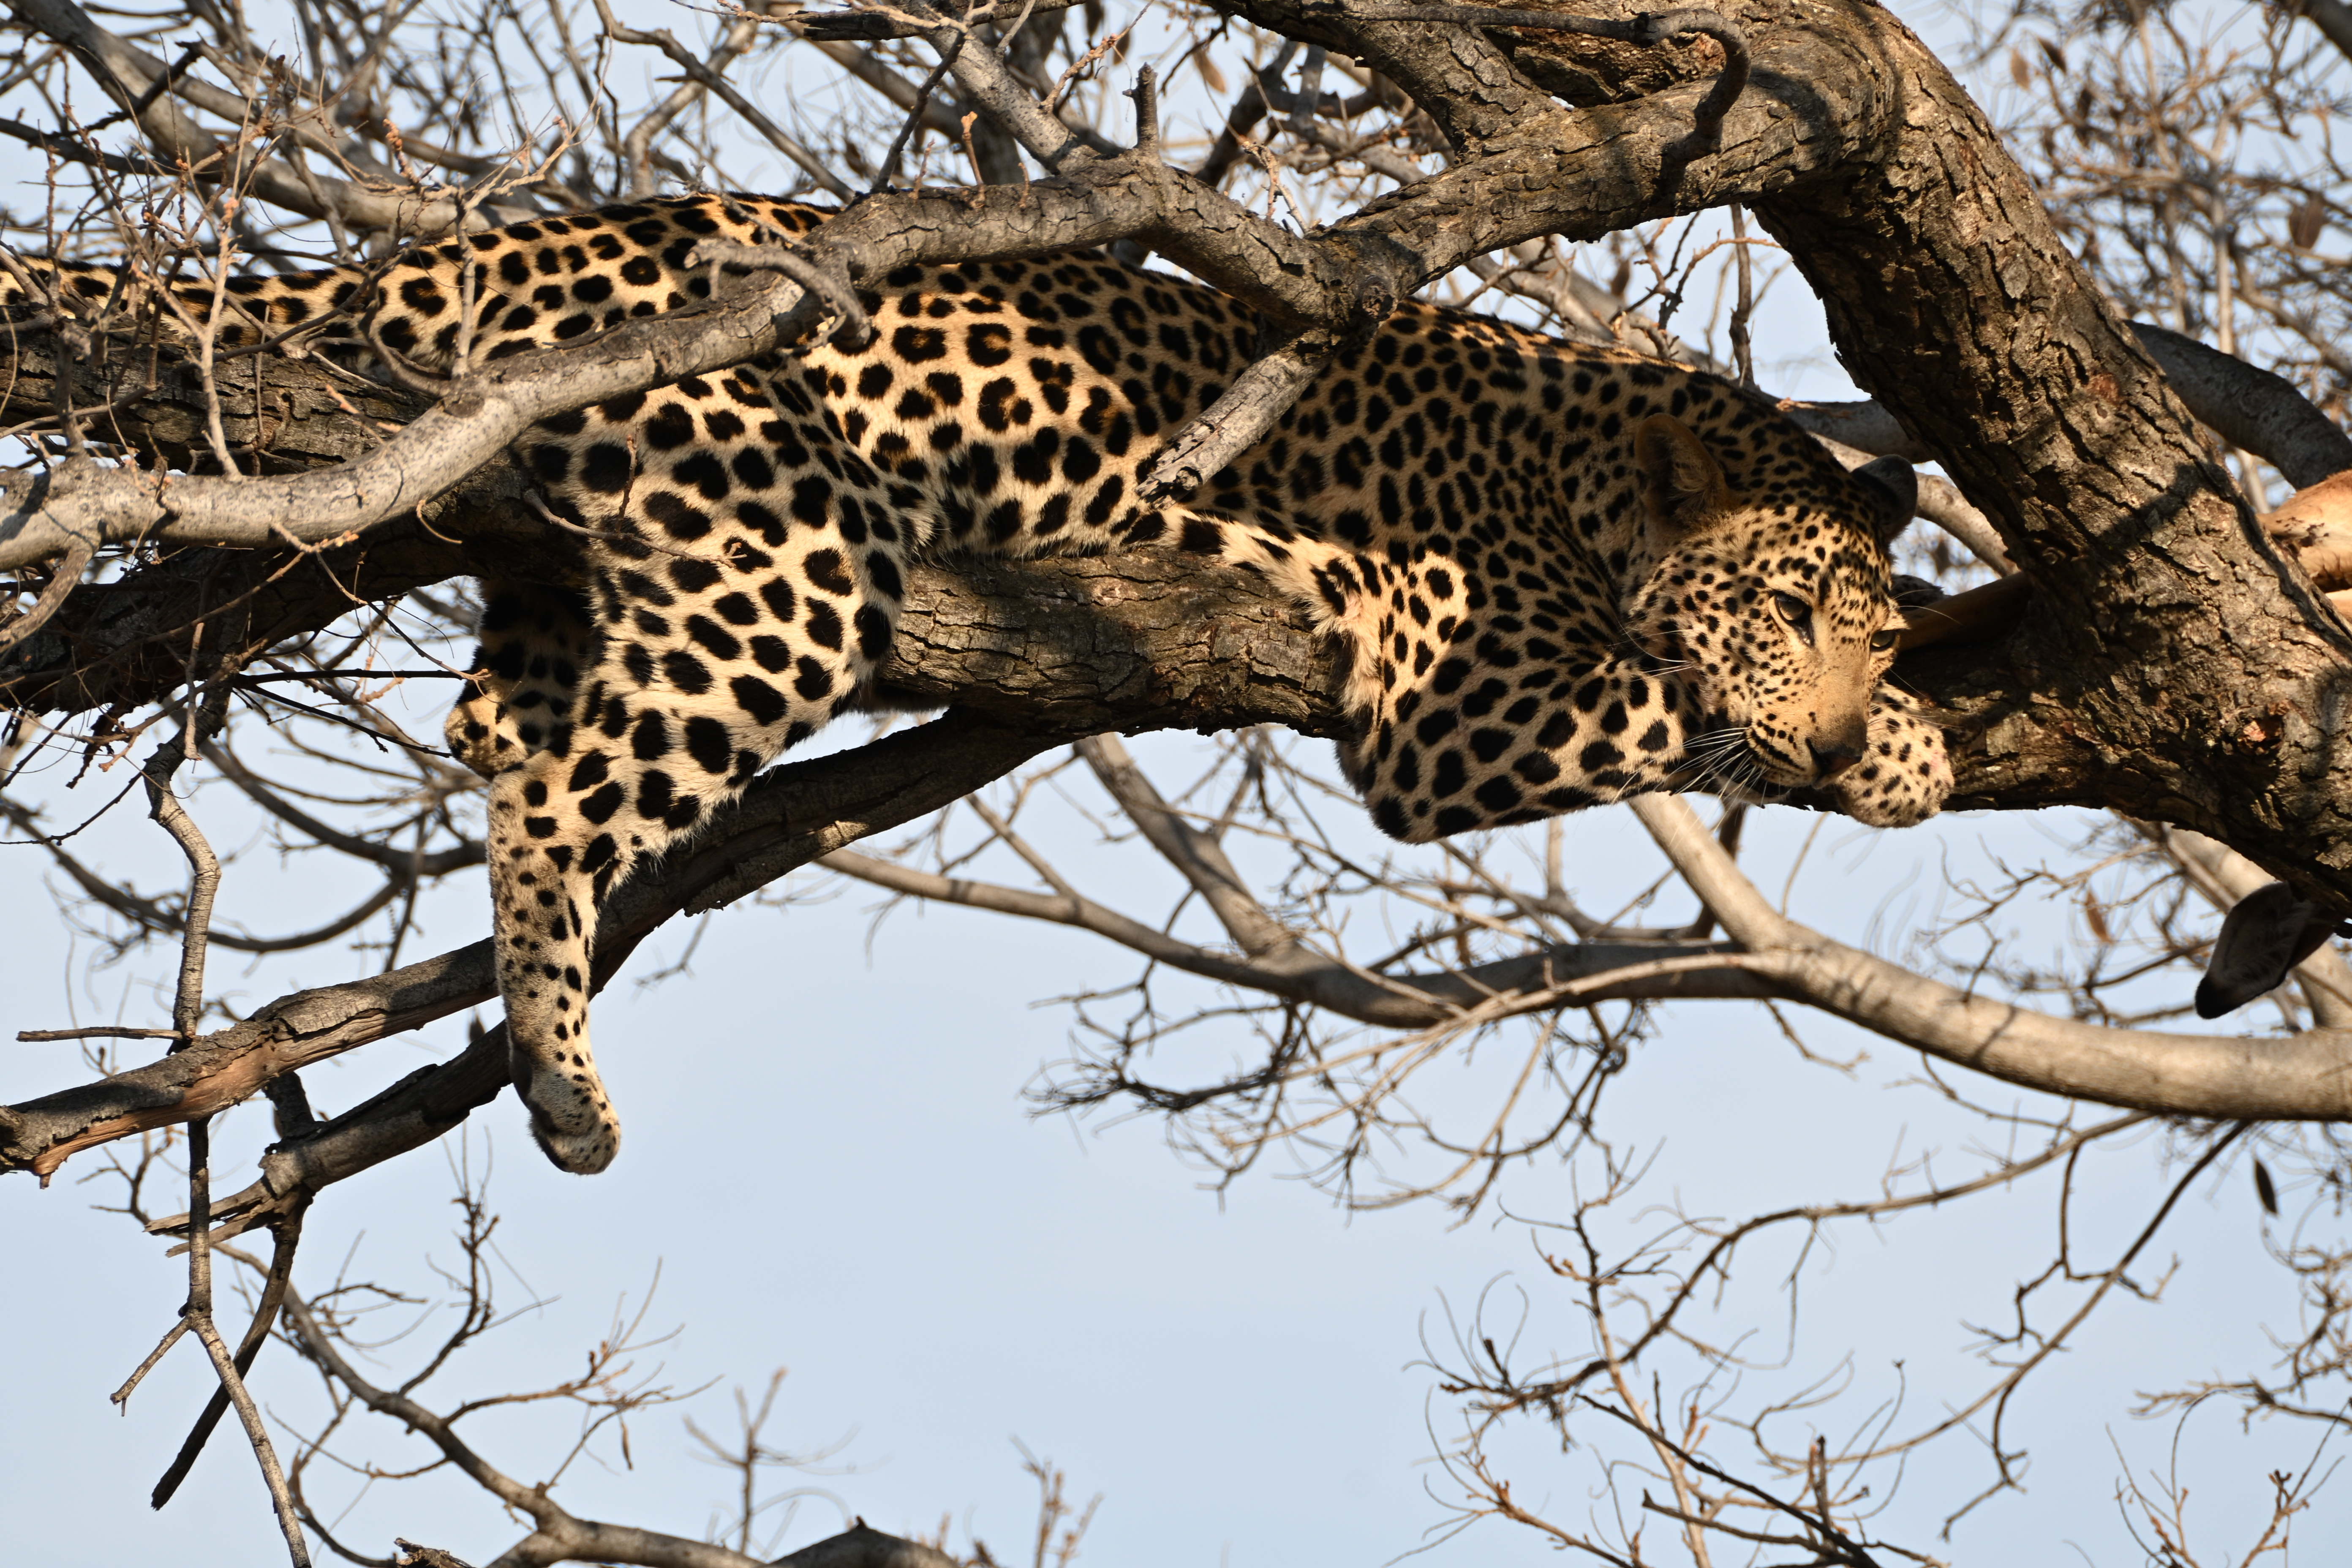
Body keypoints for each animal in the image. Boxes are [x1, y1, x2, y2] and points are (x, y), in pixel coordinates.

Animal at [1, 192, 1953, 1174]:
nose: (1849, 704)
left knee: (496, 729)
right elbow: (1674, 703)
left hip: (594, 572)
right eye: (1788, 607)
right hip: (781, 560)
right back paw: (562, 1085)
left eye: (1858, 620)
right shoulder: (1451, 703)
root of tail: (469, 246)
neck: (1593, 457)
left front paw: (1905, 714)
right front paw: (1891, 753)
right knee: (558, 796)